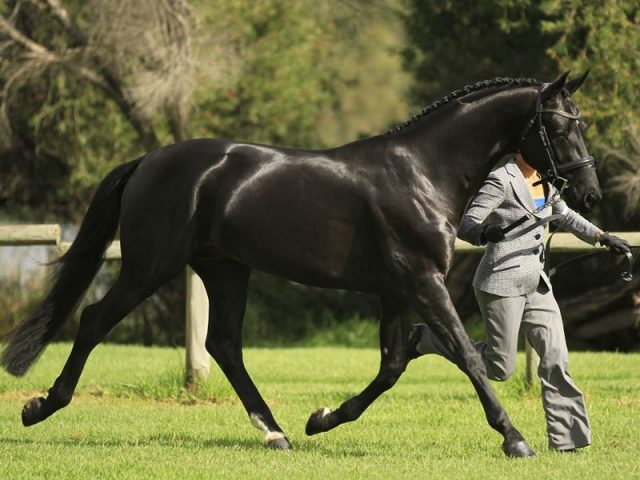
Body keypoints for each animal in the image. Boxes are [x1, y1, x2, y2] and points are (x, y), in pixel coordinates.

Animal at [2, 72, 596, 458]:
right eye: (559, 127)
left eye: (578, 122)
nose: (588, 193)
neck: (422, 172)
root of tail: (148, 161)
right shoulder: (422, 283)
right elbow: (467, 358)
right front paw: (515, 439)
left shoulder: (396, 292)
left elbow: (393, 366)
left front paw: (322, 419)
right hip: (151, 267)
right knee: (94, 320)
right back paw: (41, 406)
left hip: (225, 269)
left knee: (224, 345)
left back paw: (276, 433)